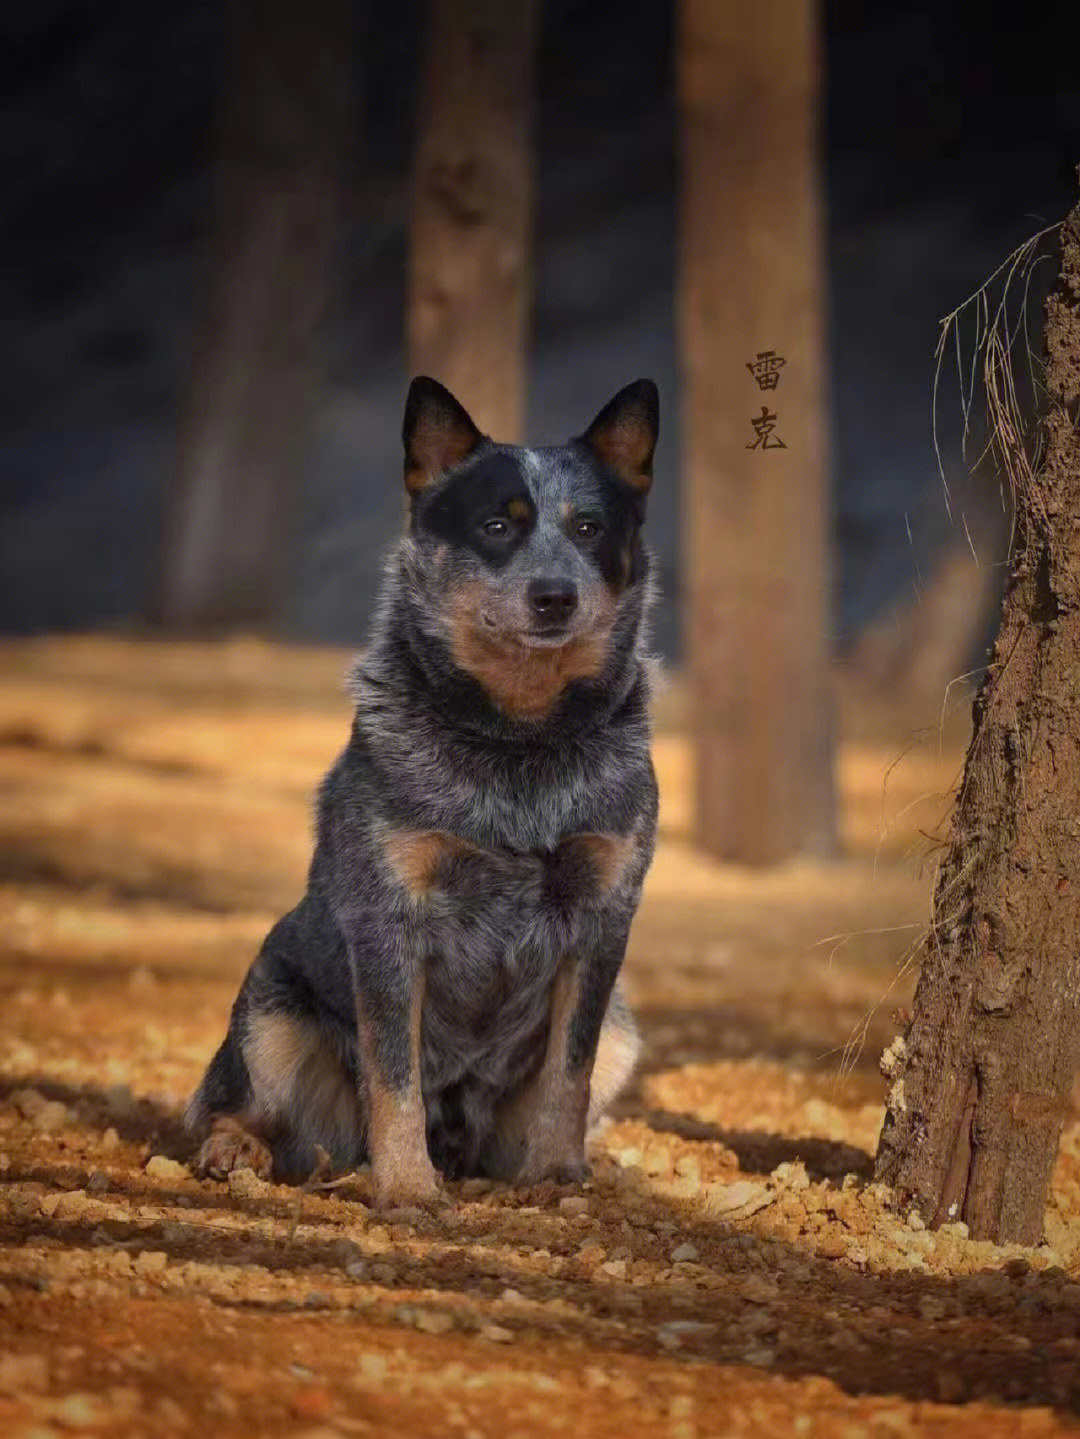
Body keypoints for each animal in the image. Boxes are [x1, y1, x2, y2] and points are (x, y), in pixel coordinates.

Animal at [185, 377, 658, 1208]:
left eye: (589, 527)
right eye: (497, 525)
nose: (555, 595)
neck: (517, 744)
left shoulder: (605, 910)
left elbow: (568, 1069)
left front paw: (556, 1173)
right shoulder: (390, 914)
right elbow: (394, 1072)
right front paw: (406, 1186)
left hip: (625, 1032)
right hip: (270, 1008)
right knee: (230, 1101)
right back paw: (237, 1147)